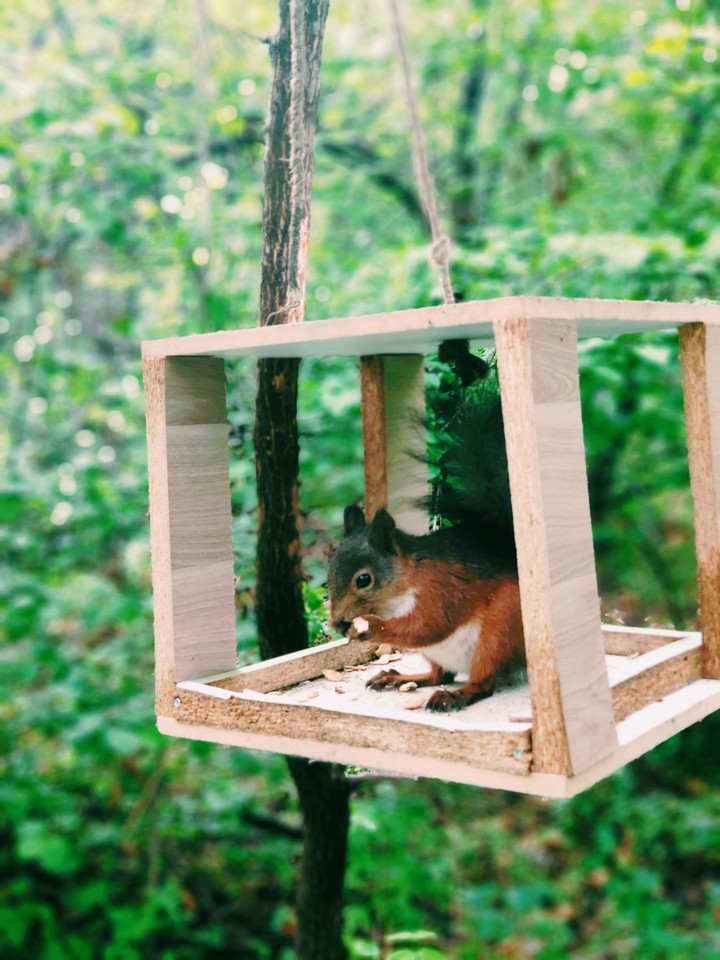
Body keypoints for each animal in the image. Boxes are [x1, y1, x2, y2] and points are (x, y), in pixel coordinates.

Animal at [327, 356, 525, 712]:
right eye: (329, 569)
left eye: (364, 580)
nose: (337, 622)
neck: (404, 581)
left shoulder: (440, 589)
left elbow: (427, 625)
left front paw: (370, 628)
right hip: (442, 654)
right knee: (439, 674)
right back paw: (401, 678)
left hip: (500, 628)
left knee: (482, 681)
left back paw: (457, 695)